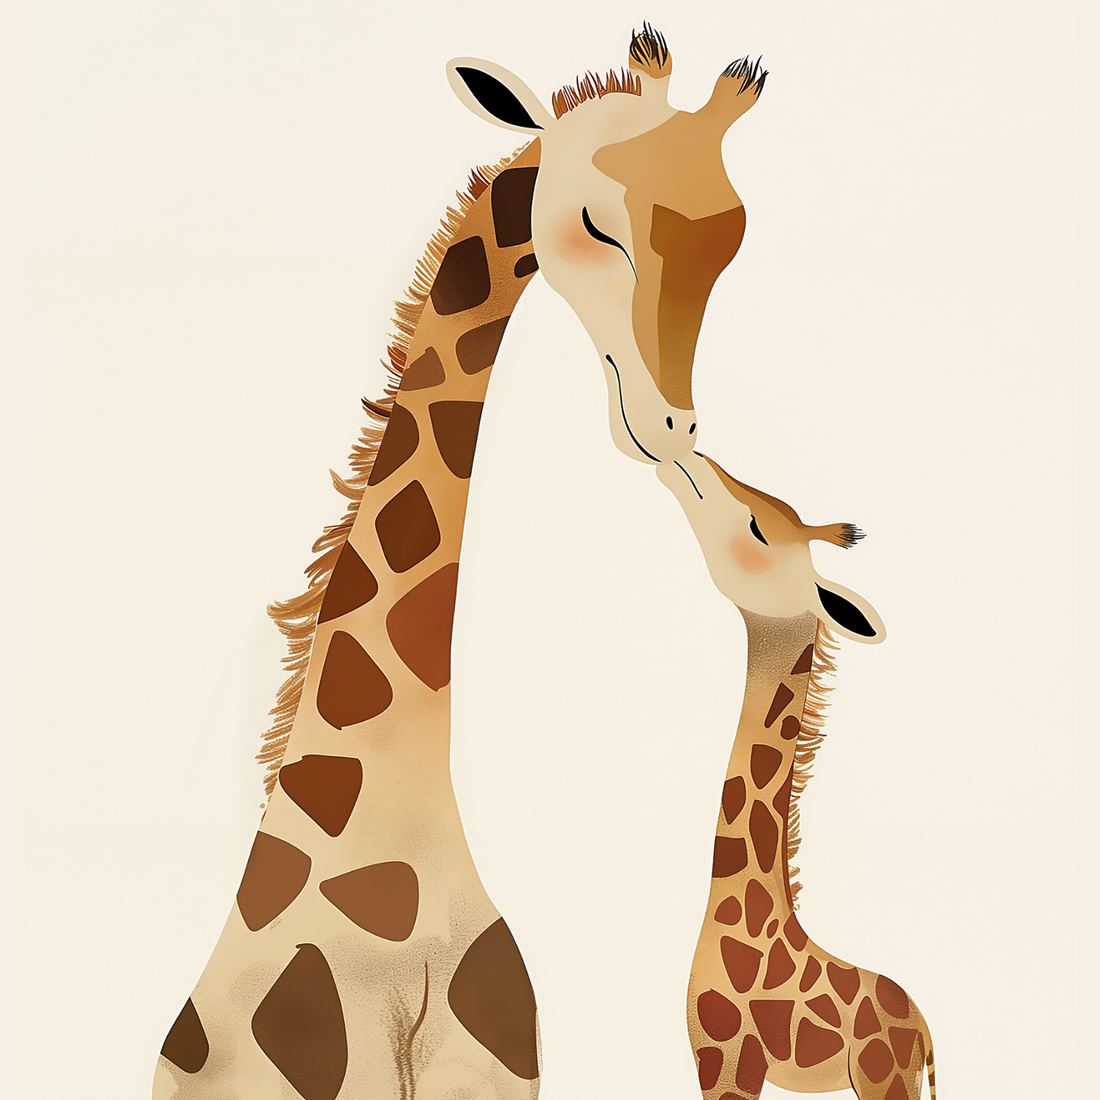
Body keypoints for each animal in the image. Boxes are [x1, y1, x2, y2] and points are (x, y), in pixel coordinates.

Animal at [657, 451, 935, 1100]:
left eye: (758, 528)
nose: (691, 460)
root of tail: (925, 1030)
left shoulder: (728, 1061)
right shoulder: (713, 1061)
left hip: (883, 1081)